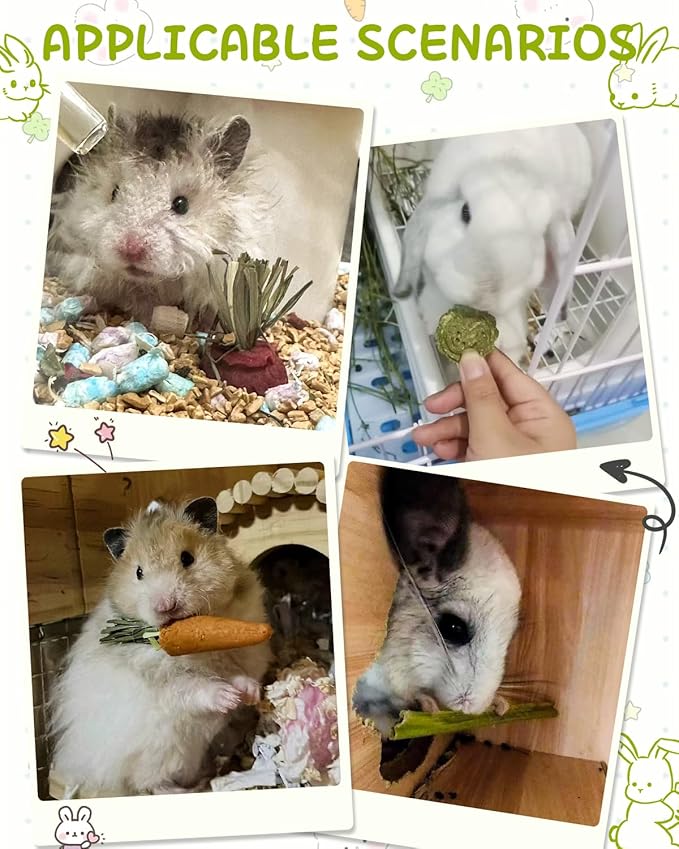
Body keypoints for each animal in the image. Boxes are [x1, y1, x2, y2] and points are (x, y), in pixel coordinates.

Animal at [49, 497, 272, 798]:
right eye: (139, 572)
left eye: (187, 558)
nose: (166, 606)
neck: (198, 647)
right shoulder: (163, 679)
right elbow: (196, 687)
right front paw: (227, 698)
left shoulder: (237, 654)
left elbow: (238, 673)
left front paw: (247, 695)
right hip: (163, 753)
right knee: (148, 784)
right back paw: (188, 788)